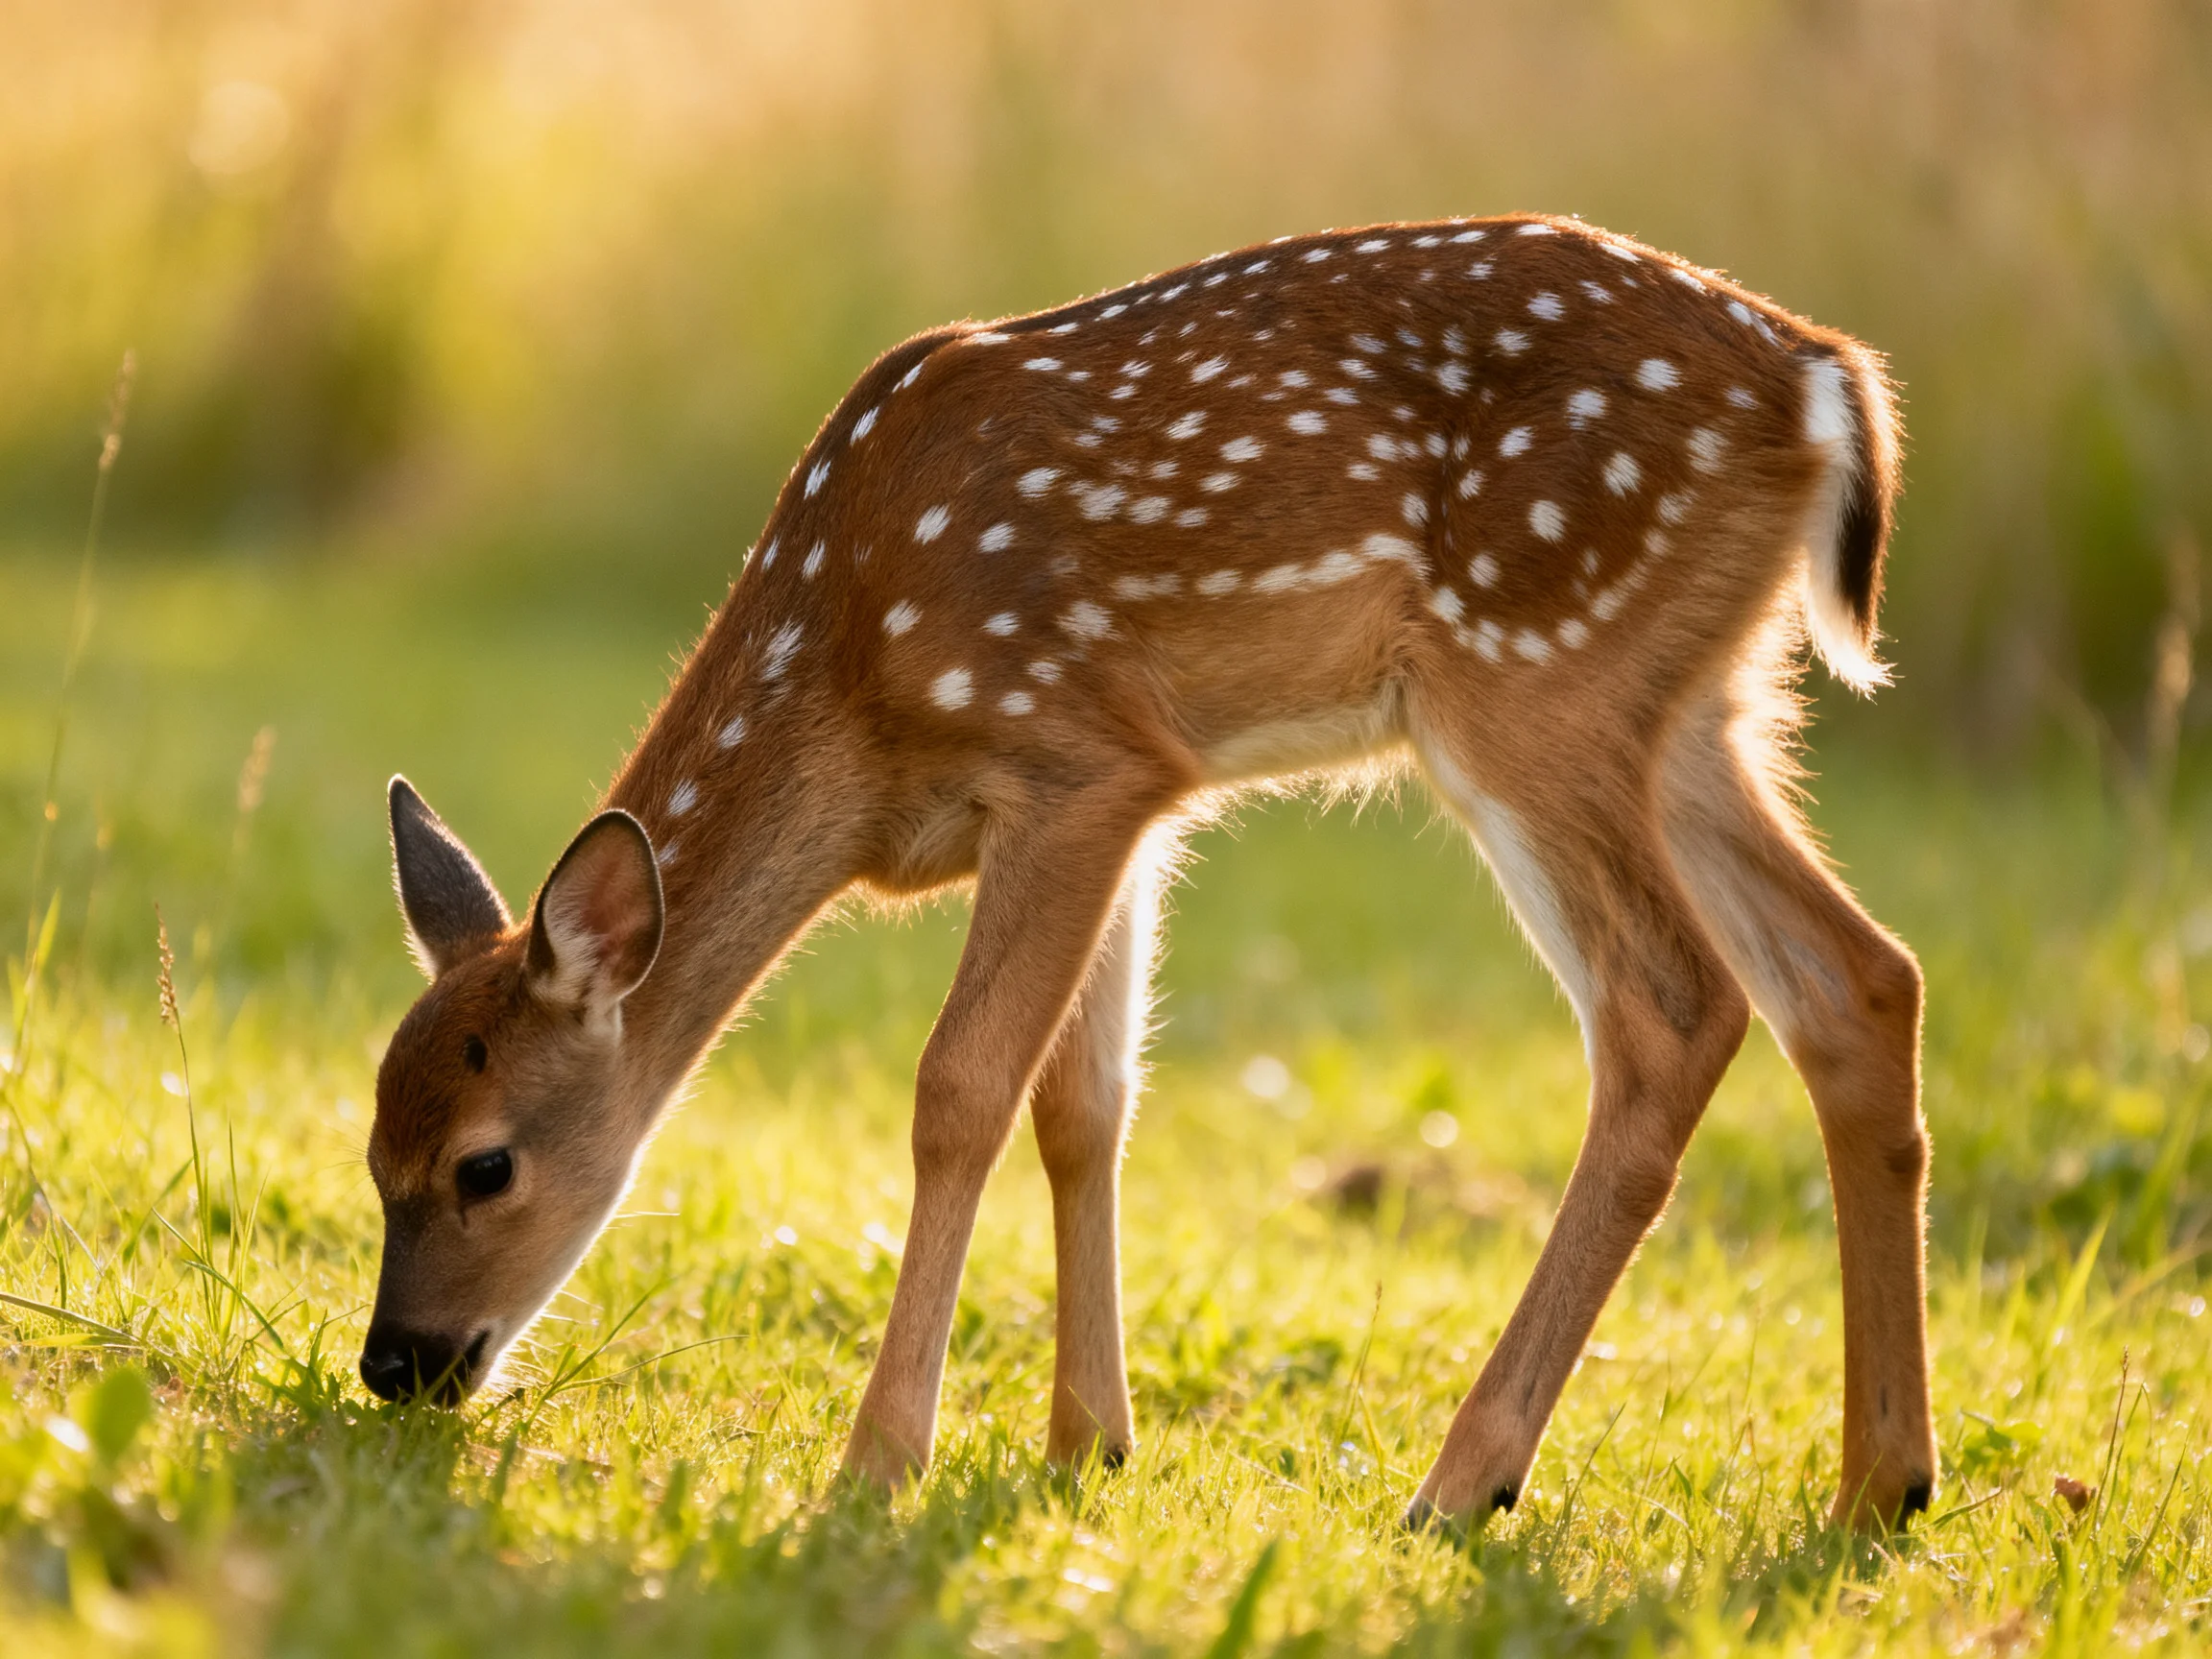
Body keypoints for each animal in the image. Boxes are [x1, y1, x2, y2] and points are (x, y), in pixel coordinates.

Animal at [359, 213, 1936, 1533]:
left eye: (484, 1164)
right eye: (372, 1154)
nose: (395, 1366)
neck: (850, 682)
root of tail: (1825, 379)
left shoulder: (1074, 756)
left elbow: (961, 1089)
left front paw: (881, 1459)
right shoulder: (1132, 799)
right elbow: (1087, 1102)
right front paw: (1088, 1442)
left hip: (1535, 675)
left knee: (1674, 1010)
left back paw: (1464, 1481)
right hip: (1702, 708)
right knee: (1860, 979)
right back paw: (1882, 1485)